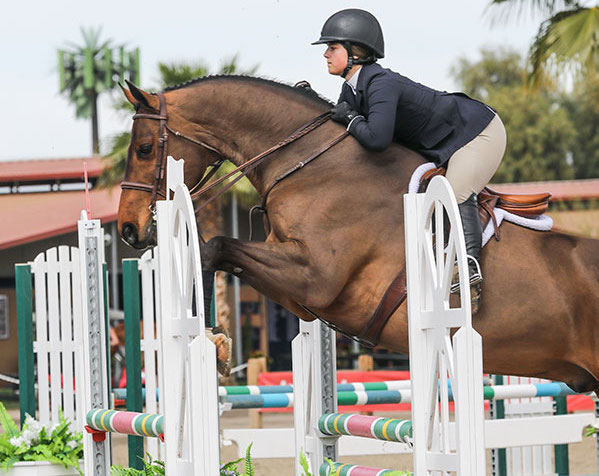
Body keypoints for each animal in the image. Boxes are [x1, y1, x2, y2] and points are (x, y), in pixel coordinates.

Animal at [117, 75, 599, 394]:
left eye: (144, 148)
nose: (127, 229)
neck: (310, 164)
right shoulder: (303, 294)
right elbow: (219, 255)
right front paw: (217, 341)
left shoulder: (315, 277)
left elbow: (215, 247)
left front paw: (216, 343)